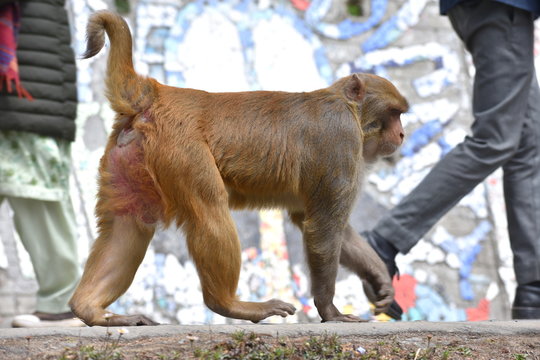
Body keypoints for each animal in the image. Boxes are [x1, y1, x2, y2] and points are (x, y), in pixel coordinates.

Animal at [70, 10, 410, 326]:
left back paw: (90, 310)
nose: (402, 134)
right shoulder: (340, 140)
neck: (349, 108)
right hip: (180, 150)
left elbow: (315, 221)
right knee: (209, 209)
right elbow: (323, 227)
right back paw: (230, 304)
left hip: (131, 156)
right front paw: (329, 310)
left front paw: (379, 277)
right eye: (394, 113)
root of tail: (157, 92)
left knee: (129, 222)